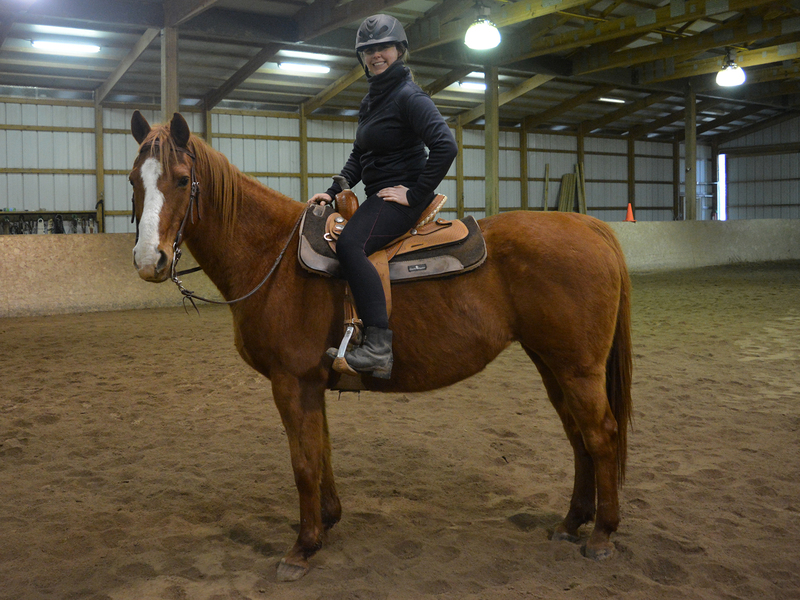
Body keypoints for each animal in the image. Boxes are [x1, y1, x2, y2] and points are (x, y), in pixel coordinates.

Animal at [130, 111, 632, 580]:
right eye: (135, 179)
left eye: (181, 179)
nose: (148, 260)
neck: (271, 256)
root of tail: (591, 227)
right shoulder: (312, 384)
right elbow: (322, 451)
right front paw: (327, 522)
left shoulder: (291, 382)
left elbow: (303, 464)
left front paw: (302, 548)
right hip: (552, 364)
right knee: (578, 437)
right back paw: (572, 523)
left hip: (577, 369)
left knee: (601, 435)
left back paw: (602, 535)